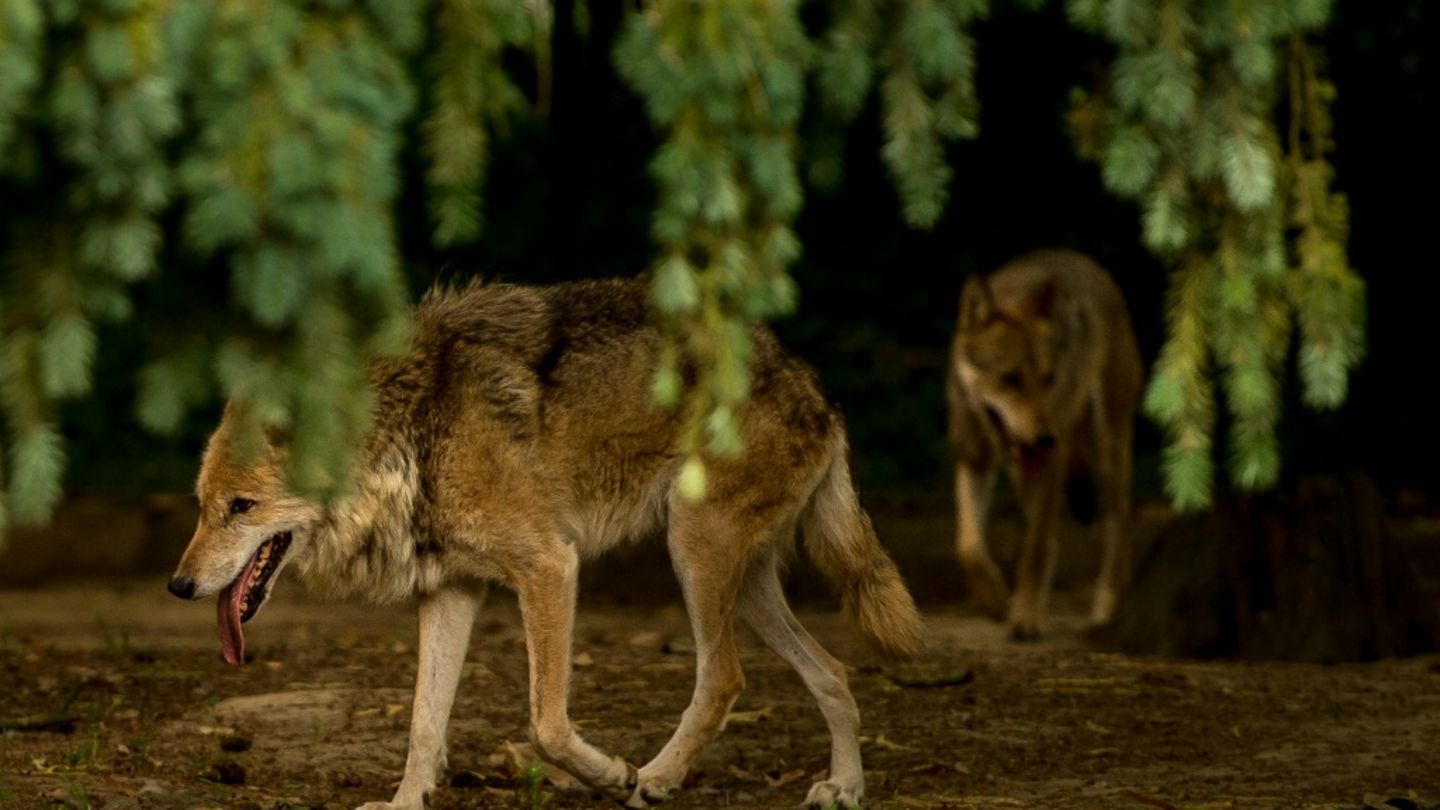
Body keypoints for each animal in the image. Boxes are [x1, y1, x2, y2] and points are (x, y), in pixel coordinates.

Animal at [166, 277, 923, 809]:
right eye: (202, 508)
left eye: (241, 507)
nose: (179, 586)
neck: (411, 435)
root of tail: (817, 387)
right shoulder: (452, 591)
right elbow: (423, 723)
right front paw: (406, 801)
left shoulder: (549, 566)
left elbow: (546, 723)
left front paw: (610, 775)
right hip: (743, 582)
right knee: (833, 670)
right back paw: (845, 789)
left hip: (694, 550)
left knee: (724, 678)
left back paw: (654, 778)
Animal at [946, 250, 1142, 640]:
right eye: (1010, 379)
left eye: (1047, 378)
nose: (1046, 437)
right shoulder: (973, 459)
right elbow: (969, 547)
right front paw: (993, 602)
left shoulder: (1053, 461)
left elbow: (1034, 548)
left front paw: (1026, 618)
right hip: (1027, 472)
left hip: (1106, 453)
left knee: (1120, 521)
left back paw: (1108, 605)